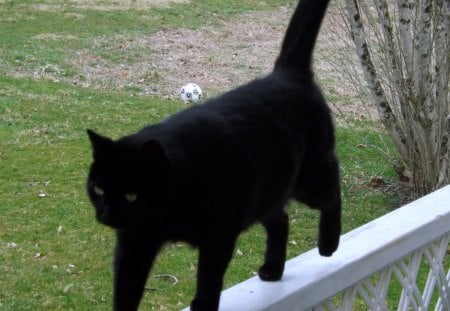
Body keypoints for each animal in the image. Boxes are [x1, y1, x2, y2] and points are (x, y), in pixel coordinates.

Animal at [86, 0, 342, 310]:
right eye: (98, 190)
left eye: (132, 196)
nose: (106, 214)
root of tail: (286, 72)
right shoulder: (135, 241)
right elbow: (125, 288)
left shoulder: (218, 235)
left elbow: (209, 276)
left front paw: (203, 304)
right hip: (266, 191)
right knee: (280, 219)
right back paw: (273, 269)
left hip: (309, 179)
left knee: (333, 189)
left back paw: (329, 243)